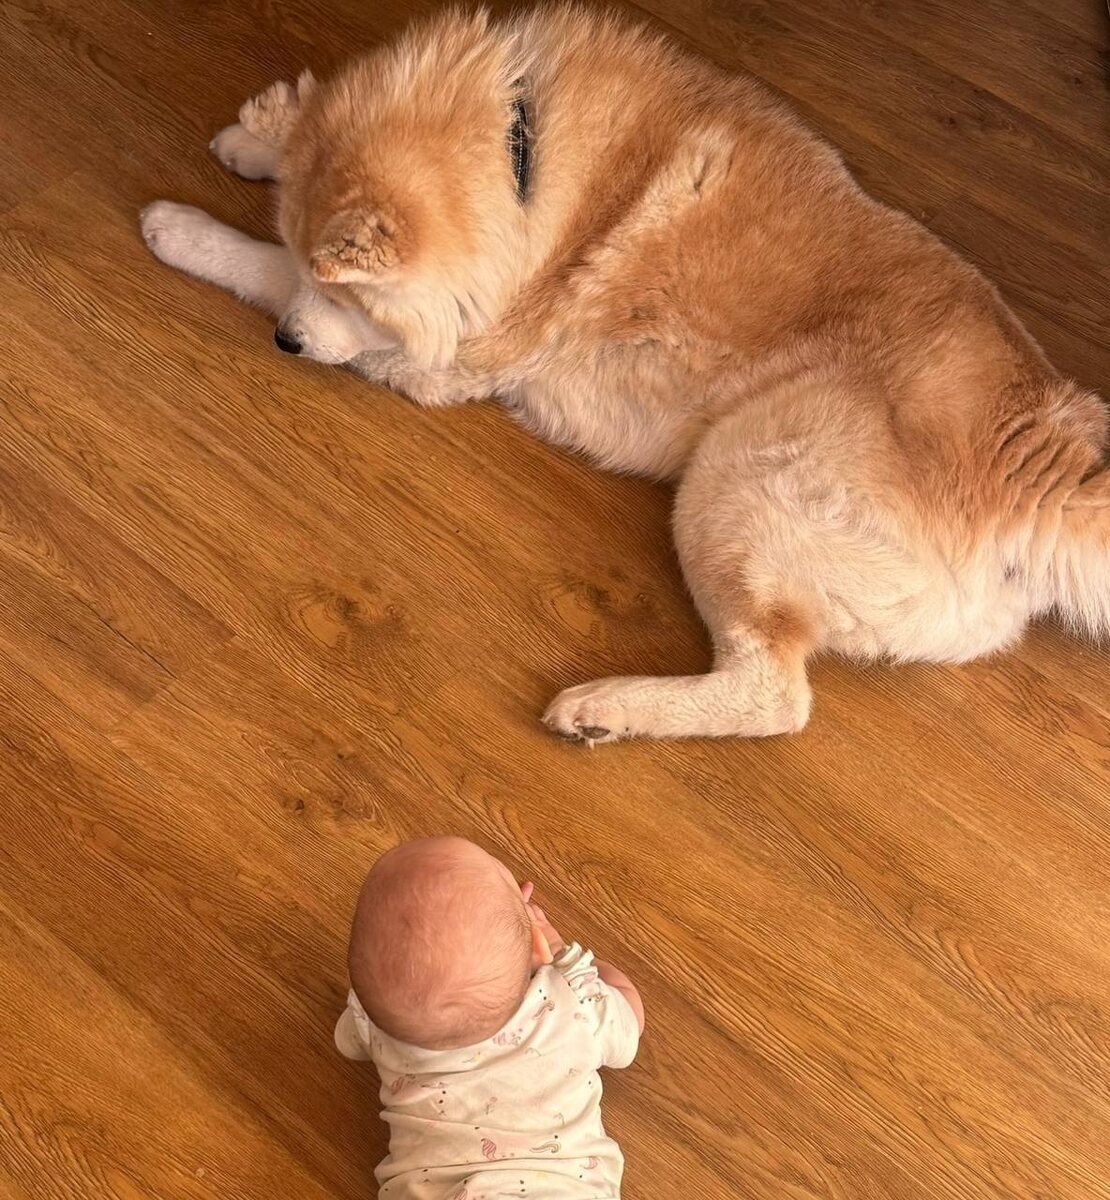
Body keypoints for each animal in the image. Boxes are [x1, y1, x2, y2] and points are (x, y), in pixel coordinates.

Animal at [141, 4, 1108, 744]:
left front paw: (187, 230)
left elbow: (266, 269)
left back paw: (606, 707)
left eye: (351, 299)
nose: (286, 346)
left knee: (773, 695)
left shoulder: (449, 354)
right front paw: (257, 136)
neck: (520, 159)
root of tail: (1040, 455)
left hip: (739, 483)